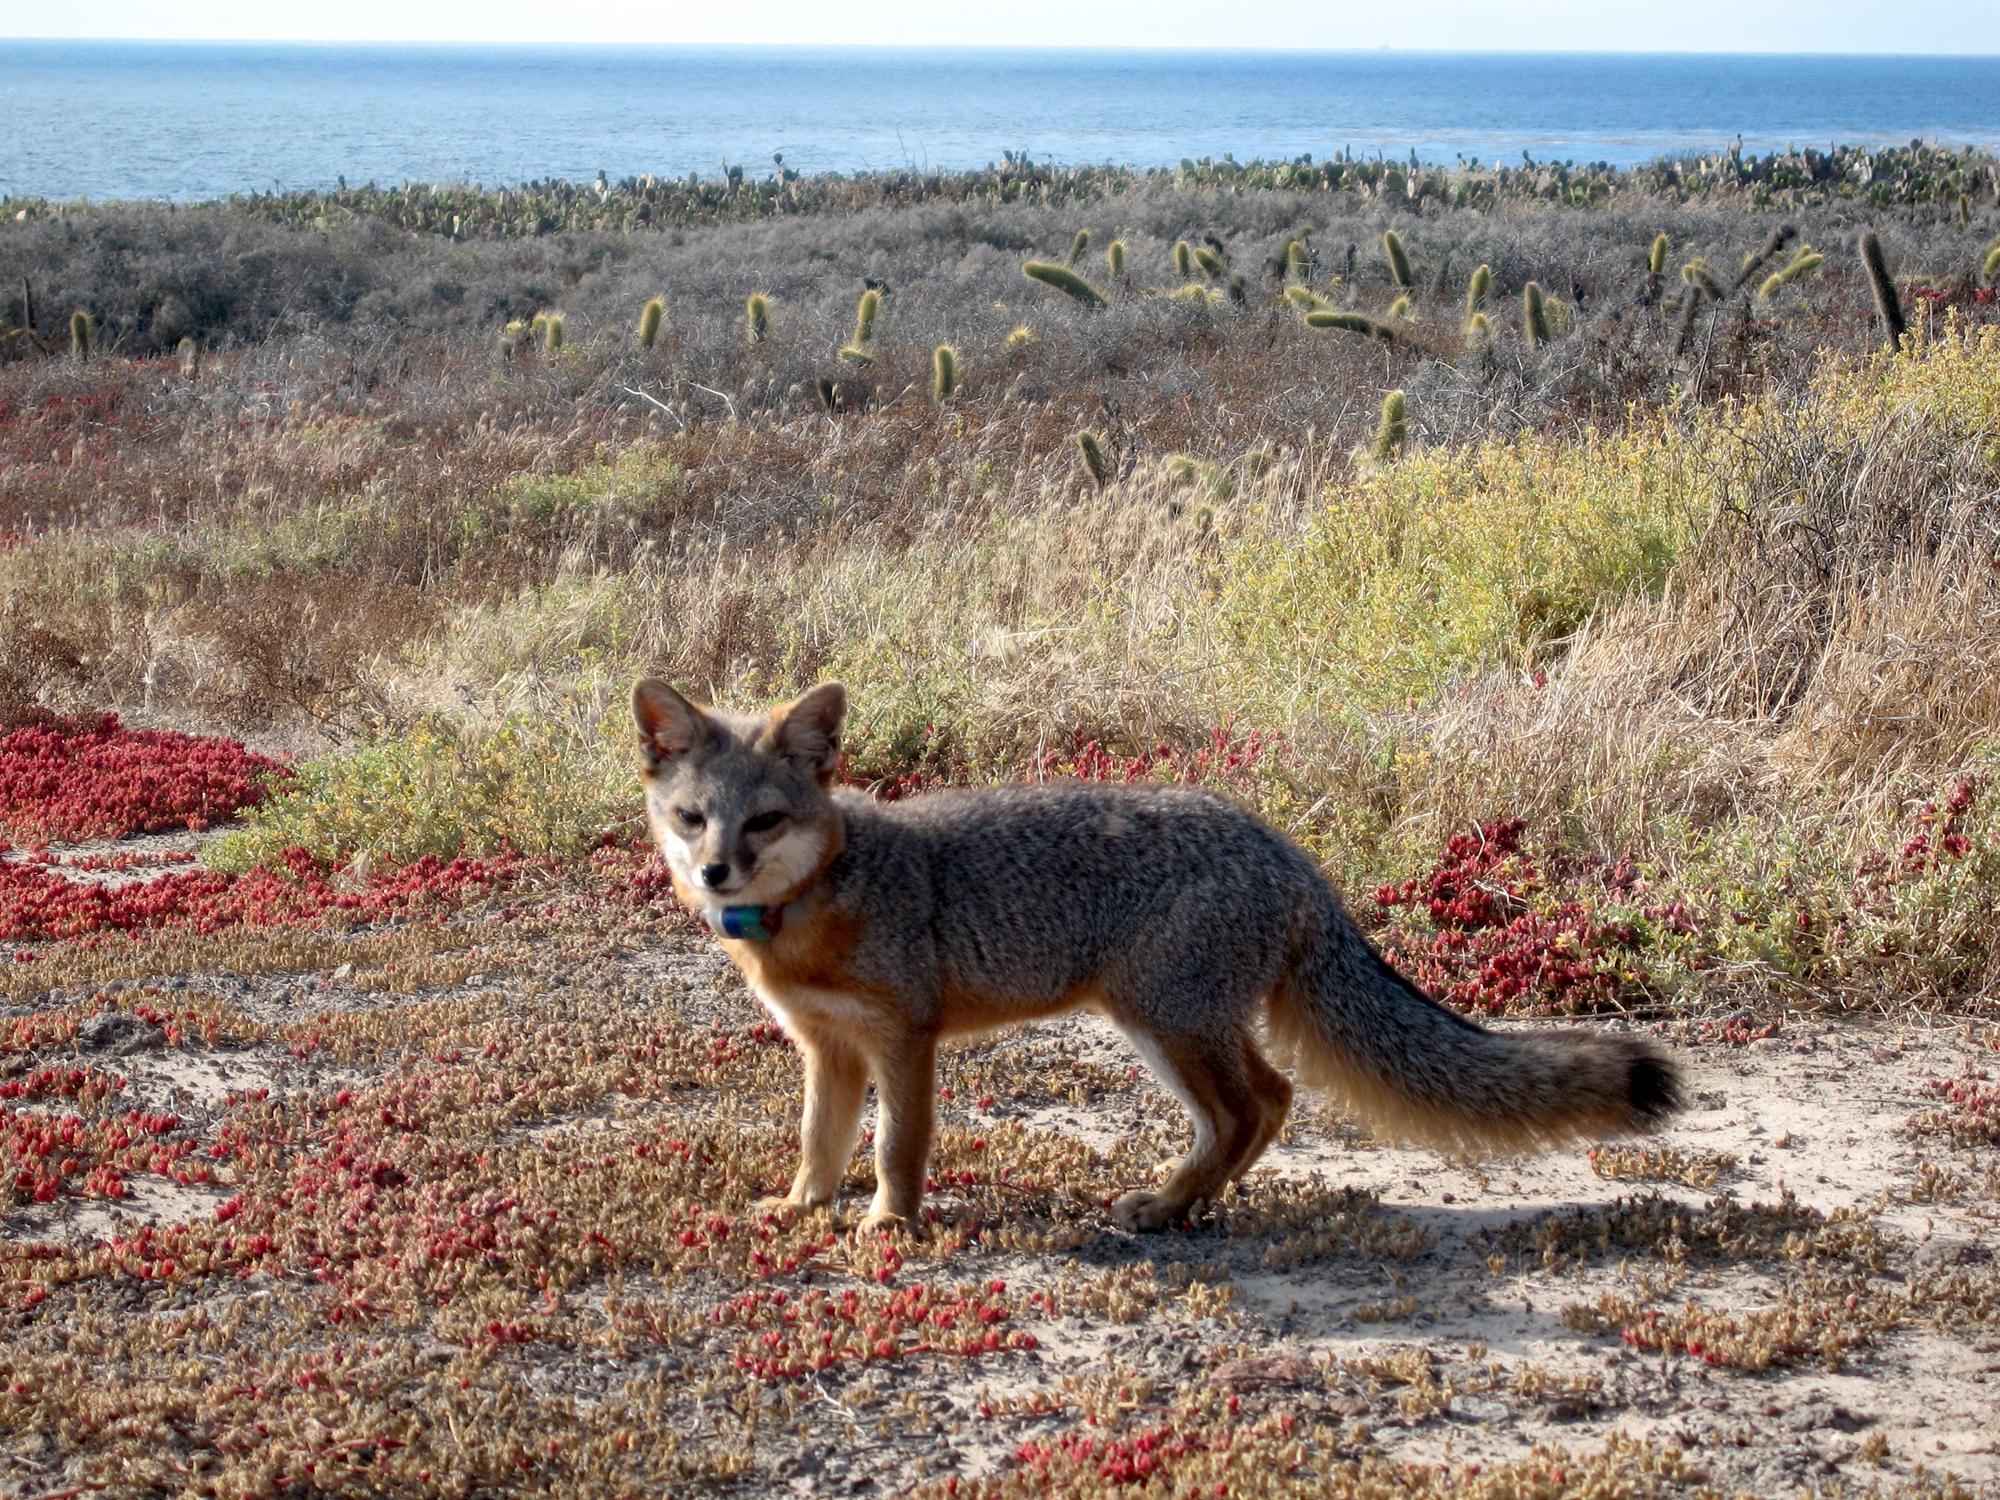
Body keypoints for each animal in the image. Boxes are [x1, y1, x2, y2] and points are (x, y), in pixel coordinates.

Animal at [632, 680, 1680, 1232]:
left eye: (765, 821)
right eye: (691, 819)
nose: (717, 871)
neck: (817, 909)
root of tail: (1291, 854)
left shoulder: (905, 1041)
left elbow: (896, 1145)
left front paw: (889, 1224)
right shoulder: (829, 1050)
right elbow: (821, 1140)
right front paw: (800, 1206)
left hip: (1159, 1020)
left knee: (1250, 1104)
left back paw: (1172, 1202)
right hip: (1186, 1021)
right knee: (1271, 1099)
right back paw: (1197, 1200)